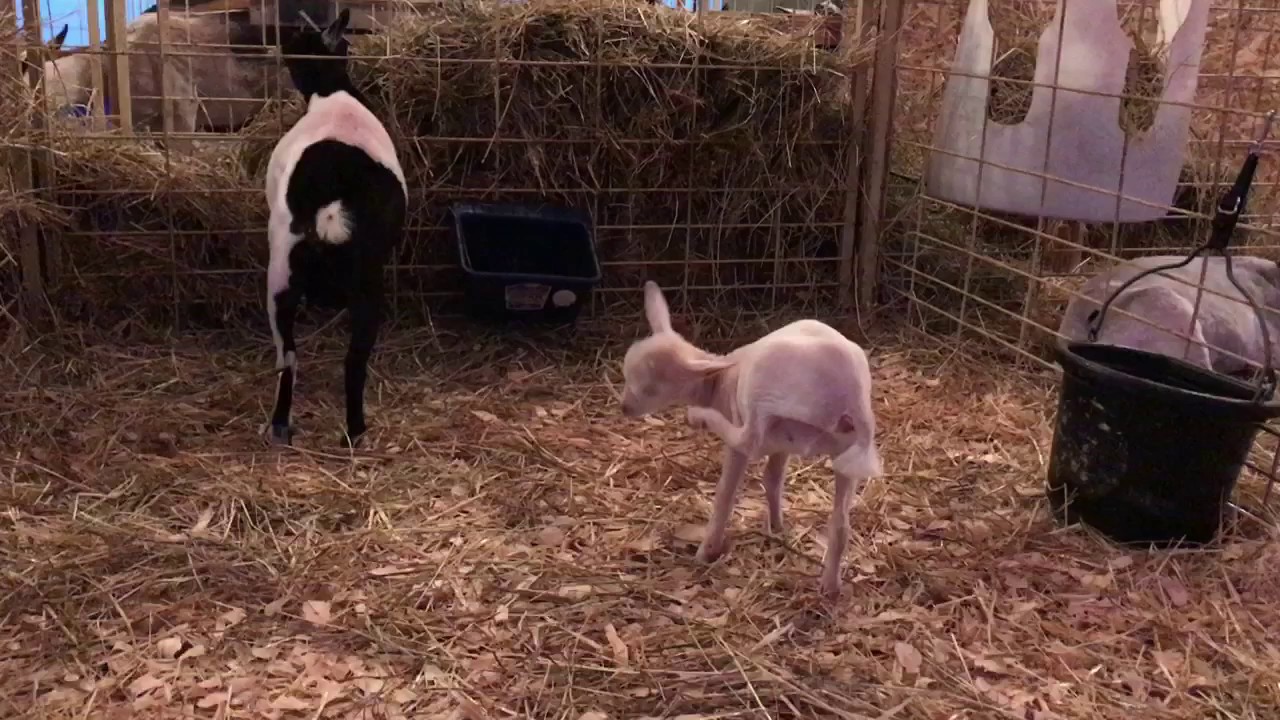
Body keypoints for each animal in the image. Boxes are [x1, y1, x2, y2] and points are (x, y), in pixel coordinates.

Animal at [264, 8, 406, 447]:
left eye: (300, 35)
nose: (281, 38)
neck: (333, 95)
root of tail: (333, 200)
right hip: (365, 287)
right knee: (353, 361)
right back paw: (355, 431)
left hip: (280, 279)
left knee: (288, 358)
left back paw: (281, 424)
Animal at [620, 281, 882, 600]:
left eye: (650, 388)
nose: (624, 408)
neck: (717, 382)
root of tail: (849, 391)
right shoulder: (784, 442)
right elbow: (773, 478)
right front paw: (777, 526)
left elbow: (726, 493)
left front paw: (709, 550)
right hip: (845, 447)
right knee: (841, 523)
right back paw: (830, 586)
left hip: (761, 396)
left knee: (747, 439)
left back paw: (702, 418)